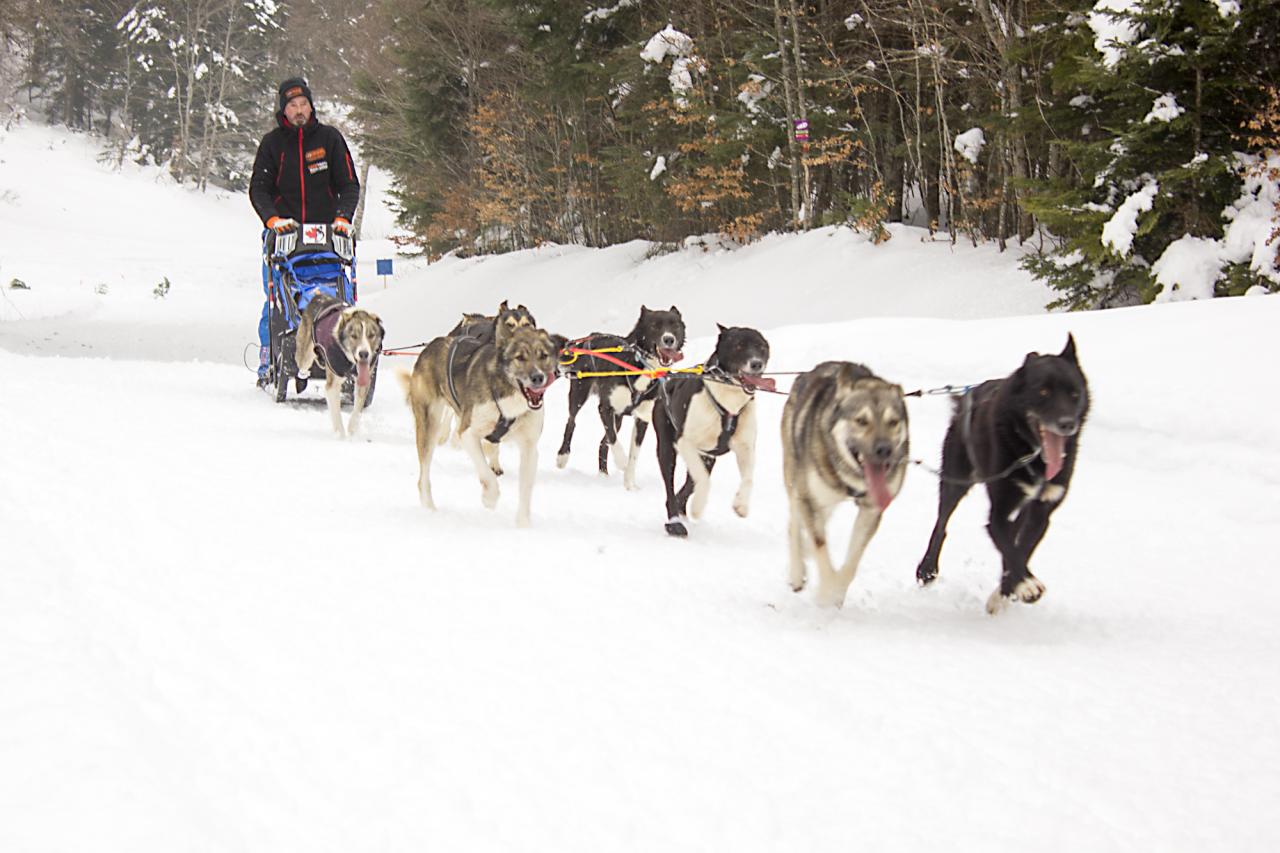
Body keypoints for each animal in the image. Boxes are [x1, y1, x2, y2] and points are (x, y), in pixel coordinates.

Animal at [555, 303, 686, 484]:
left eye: (675, 326)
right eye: (655, 326)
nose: (669, 339)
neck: (638, 366)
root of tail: (589, 338)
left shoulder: (642, 418)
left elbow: (633, 454)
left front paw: (630, 483)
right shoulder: (605, 408)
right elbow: (614, 440)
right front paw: (621, 461)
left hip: (618, 418)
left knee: (602, 443)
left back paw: (603, 475)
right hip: (579, 394)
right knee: (571, 422)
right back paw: (562, 456)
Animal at [650, 322, 768, 535]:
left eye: (762, 347)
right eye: (739, 346)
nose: (756, 364)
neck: (729, 402)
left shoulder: (745, 448)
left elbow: (748, 479)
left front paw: (741, 504)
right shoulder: (685, 442)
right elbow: (703, 481)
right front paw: (698, 507)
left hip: (707, 458)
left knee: (688, 485)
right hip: (667, 448)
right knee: (672, 486)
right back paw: (675, 522)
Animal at [778, 361, 911, 607]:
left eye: (893, 422)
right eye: (861, 421)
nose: (884, 449)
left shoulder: (871, 510)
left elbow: (851, 563)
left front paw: (837, 594)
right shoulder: (809, 499)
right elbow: (821, 548)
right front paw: (826, 595)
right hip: (796, 482)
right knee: (795, 525)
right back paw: (797, 571)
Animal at [911, 333, 1090, 612]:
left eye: (1074, 394)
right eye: (1043, 391)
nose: (1067, 424)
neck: (1032, 454)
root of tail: (969, 393)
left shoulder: (1042, 511)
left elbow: (1020, 549)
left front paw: (1006, 592)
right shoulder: (998, 513)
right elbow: (1008, 546)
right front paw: (1025, 585)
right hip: (956, 481)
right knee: (941, 524)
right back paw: (928, 568)